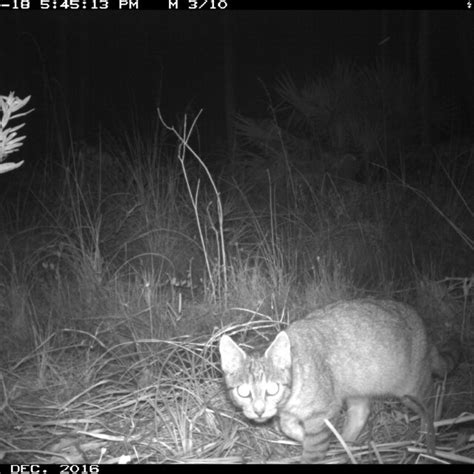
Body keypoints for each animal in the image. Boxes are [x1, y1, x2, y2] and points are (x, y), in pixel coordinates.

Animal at [219, 300, 460, 462]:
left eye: (272, 389)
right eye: (243, 392)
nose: (259, 411)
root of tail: (424, 328)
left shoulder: (322, 414)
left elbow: (313, 448)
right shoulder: (292, 414)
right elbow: (287, 427)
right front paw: (301, 436)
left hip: (412, 390)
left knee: (431, 406)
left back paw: (426, 439)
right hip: (358, 386)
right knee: (361, 412)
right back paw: (346, 442)